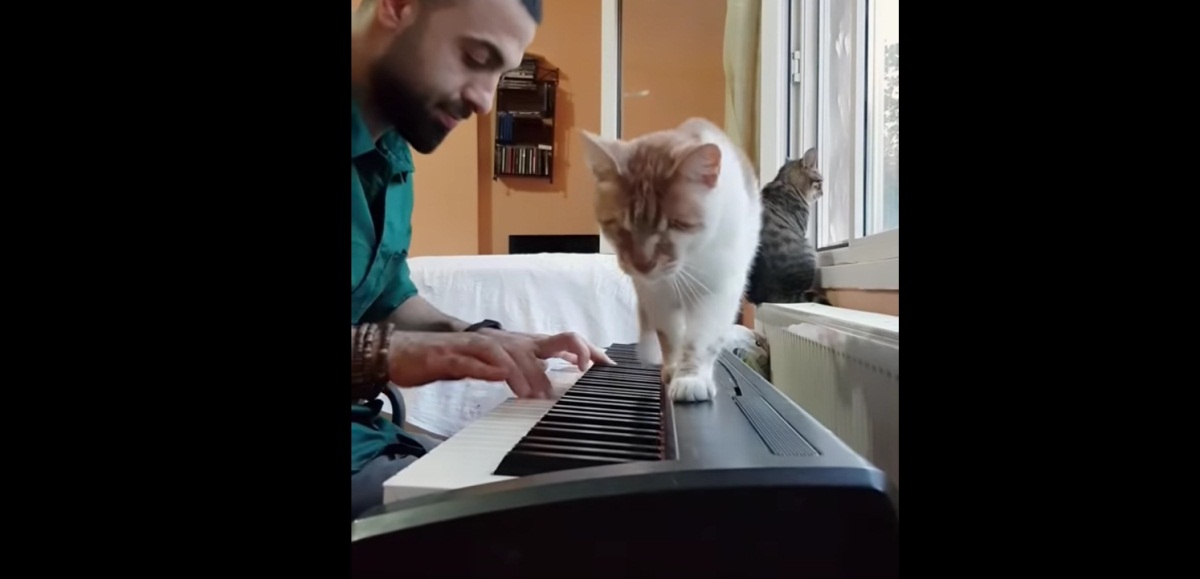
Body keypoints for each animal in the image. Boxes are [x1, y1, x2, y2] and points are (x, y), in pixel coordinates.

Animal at [578, 115, 758, 401]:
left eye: (676, 225)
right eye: (619, 226)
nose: (642, 263)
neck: (687, 263)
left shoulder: (717, 290)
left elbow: (699, 339)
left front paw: (691, 378)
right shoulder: (656, 294)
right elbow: (670, 336)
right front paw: (673, 368)